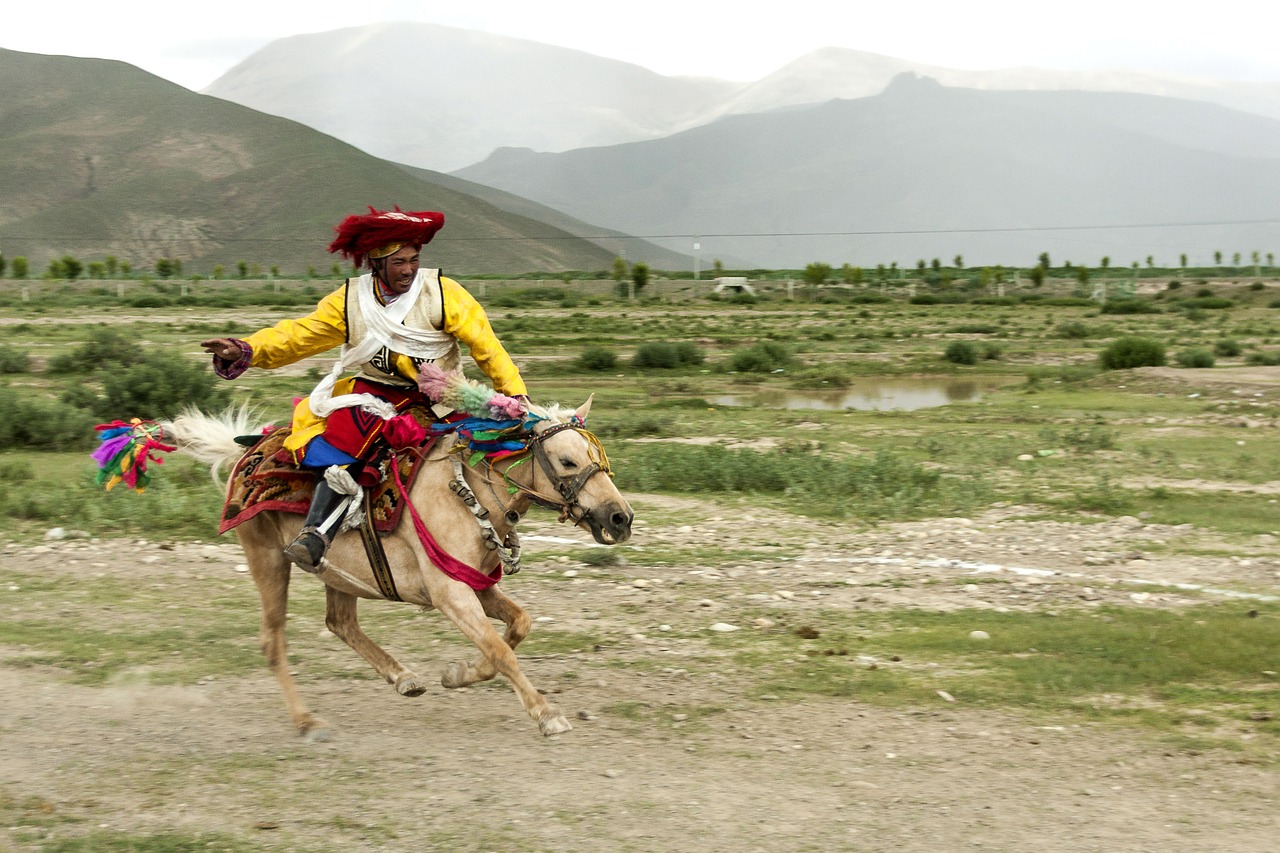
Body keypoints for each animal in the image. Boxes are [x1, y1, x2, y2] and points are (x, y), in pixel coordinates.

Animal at [162, 399, 632, 737]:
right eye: (567, 461)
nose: (620, 518)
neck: (465, 494)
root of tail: (247, 452)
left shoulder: (478, 586)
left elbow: (518, 627)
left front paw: (458, 675)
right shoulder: (451, 594)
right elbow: (500, 650)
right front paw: (545, 713)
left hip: (336, 570)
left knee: (340, 623)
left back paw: (403, 677)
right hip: (269, 559)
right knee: (273, 640)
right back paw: (306, 721)